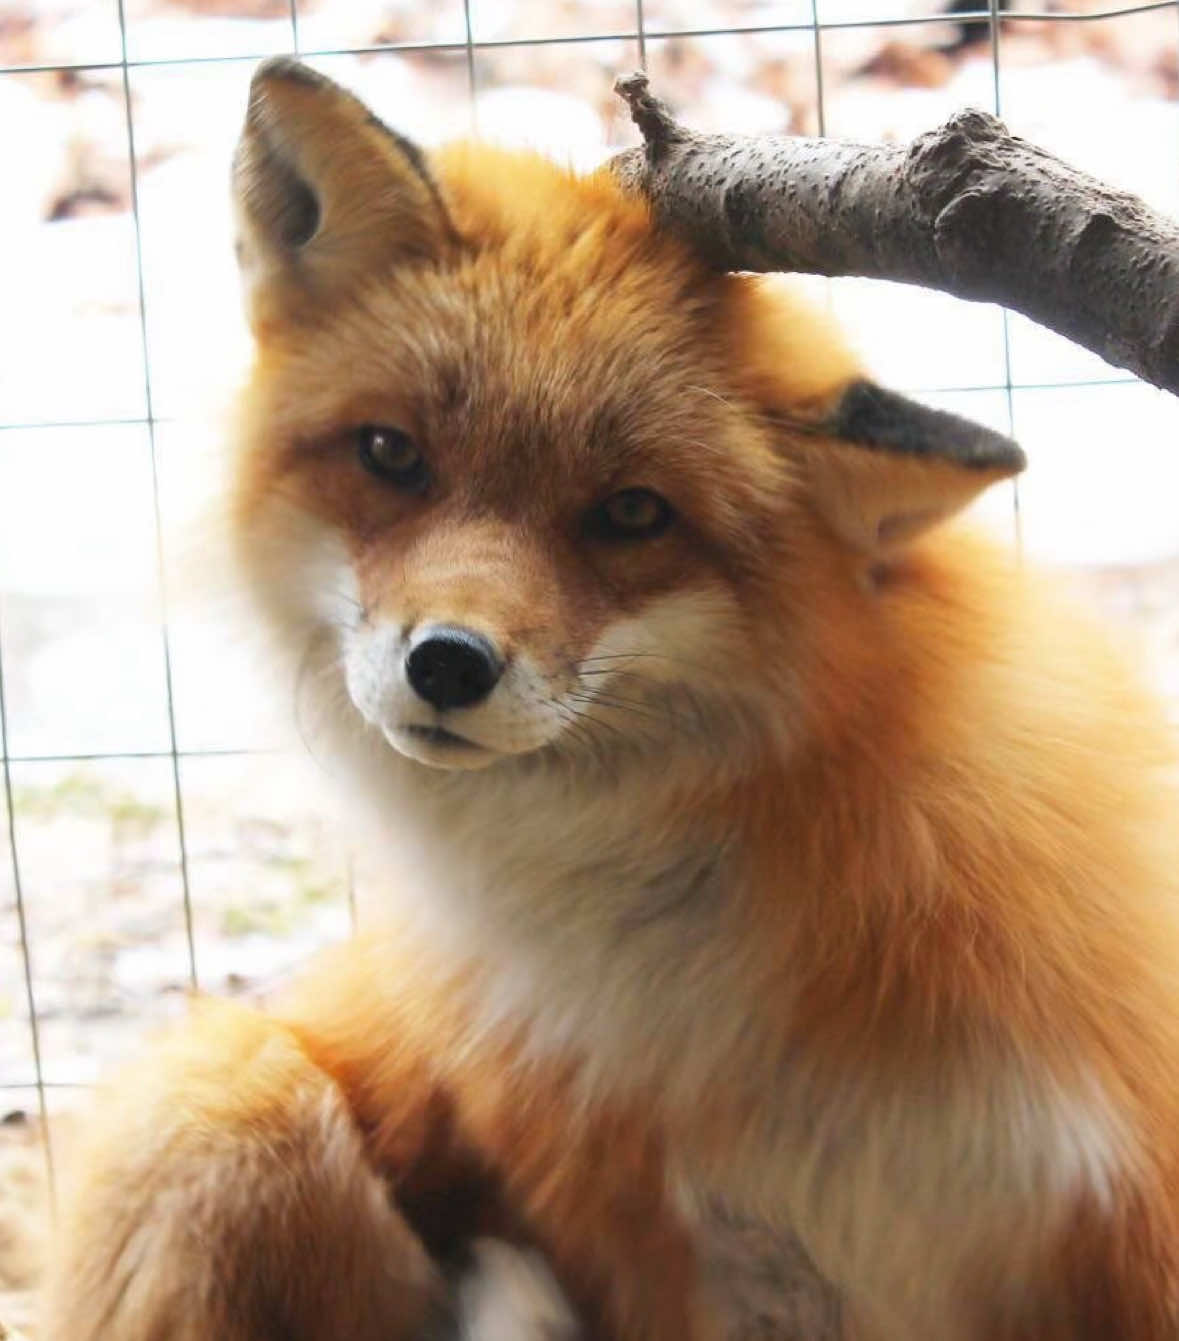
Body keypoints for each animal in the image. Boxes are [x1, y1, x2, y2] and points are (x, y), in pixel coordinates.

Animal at [41, 55, 1179, 1341]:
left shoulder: (1117, 1205)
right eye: (392, 454)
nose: (447, 664)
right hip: (220, 1108)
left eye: (632, 513)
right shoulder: (652, 1235)